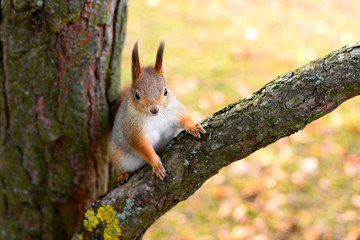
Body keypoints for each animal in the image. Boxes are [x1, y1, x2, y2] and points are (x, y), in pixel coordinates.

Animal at [109, 42, 205, 182]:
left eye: (165, 91)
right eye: (137, 95)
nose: (154, 110)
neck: (155, 118)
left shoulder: (174, 109)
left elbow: (183, 117)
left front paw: (193, 127)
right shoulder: (134, 130)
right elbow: (144, 148)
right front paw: (156, 165)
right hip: (118, 156)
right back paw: (123, 175)